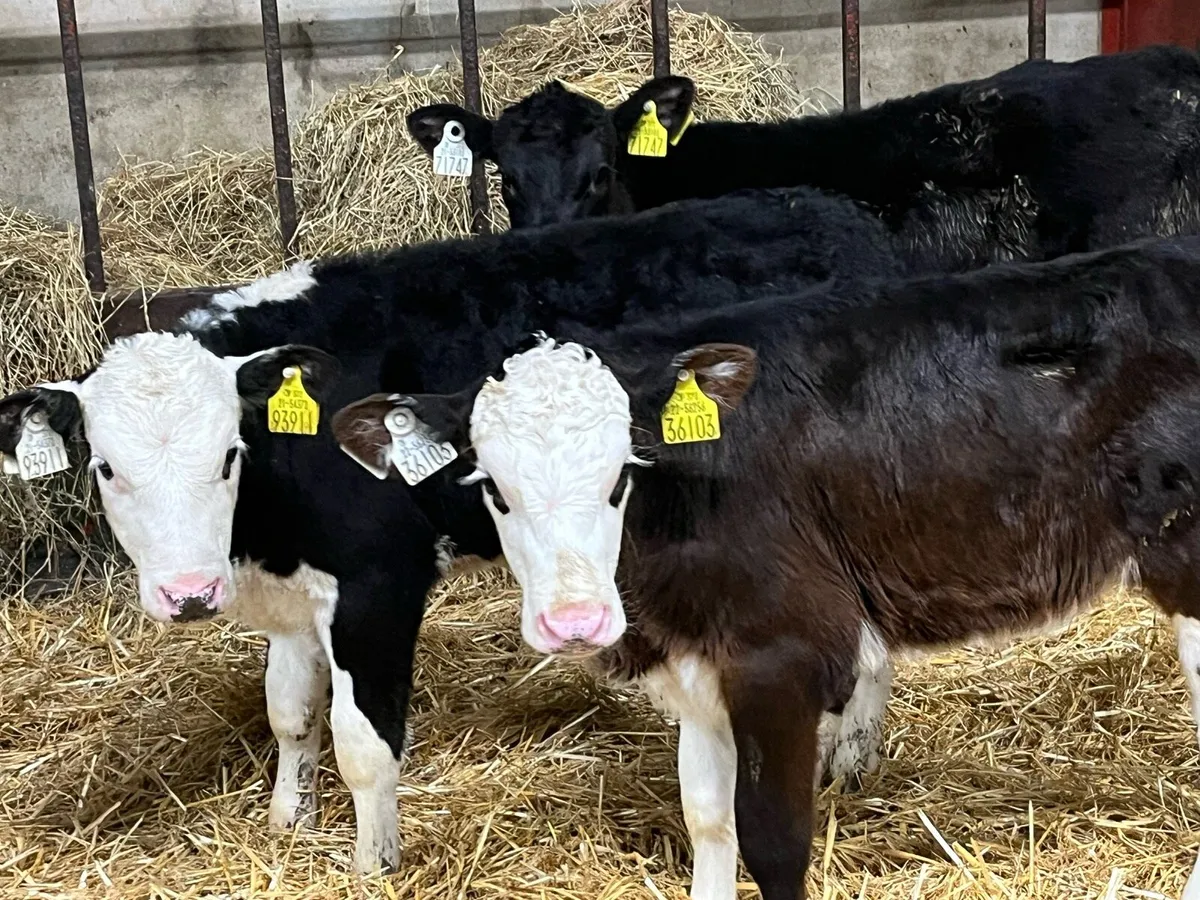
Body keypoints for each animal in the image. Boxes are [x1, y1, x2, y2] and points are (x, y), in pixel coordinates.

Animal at [0, 187, 902, 874]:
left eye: (227, 454)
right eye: (105, 467)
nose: (188, 593)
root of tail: (837, 212)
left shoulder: (378, 580)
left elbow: (364, 743)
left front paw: (371, 866)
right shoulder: (296, 591)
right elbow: (288, 710)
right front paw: (288, 818)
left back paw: (839, 754)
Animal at [334, 234, 1200, 899]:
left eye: (622, 475)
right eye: (492, 488)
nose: (574, 620)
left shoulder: (783, 654)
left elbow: (774, 840)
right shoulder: (697, 663)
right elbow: (709, 819)